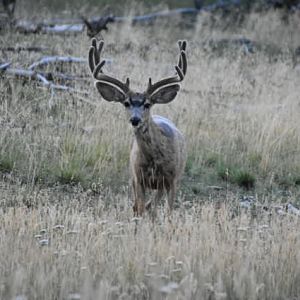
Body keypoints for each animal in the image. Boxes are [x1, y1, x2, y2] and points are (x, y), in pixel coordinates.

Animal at [88, 38, 188, 217]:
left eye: (147, 104)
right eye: (126, 103)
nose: (135, 119)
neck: (155, 161)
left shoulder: (172, 179)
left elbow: (168, 212)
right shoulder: (138, 178)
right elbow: (140, 208)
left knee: (153, 205)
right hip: (133, 177)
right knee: (139, 206)